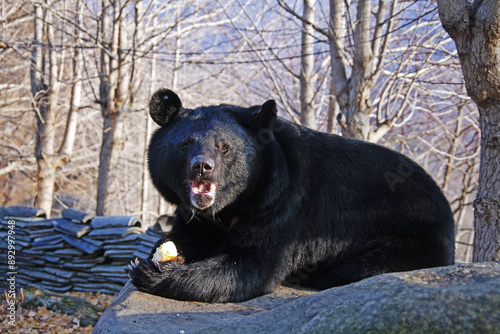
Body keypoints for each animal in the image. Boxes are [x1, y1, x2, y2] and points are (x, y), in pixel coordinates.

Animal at [128, 88, 454, 302]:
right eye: (185, 144)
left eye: (224, 147)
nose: (202, 167)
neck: (227, 206)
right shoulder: (195, 213)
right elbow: (189, 235)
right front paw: (164, 254)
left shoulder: (283, 201)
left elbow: (252, 263)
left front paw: (150, 272)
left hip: (410, 238)